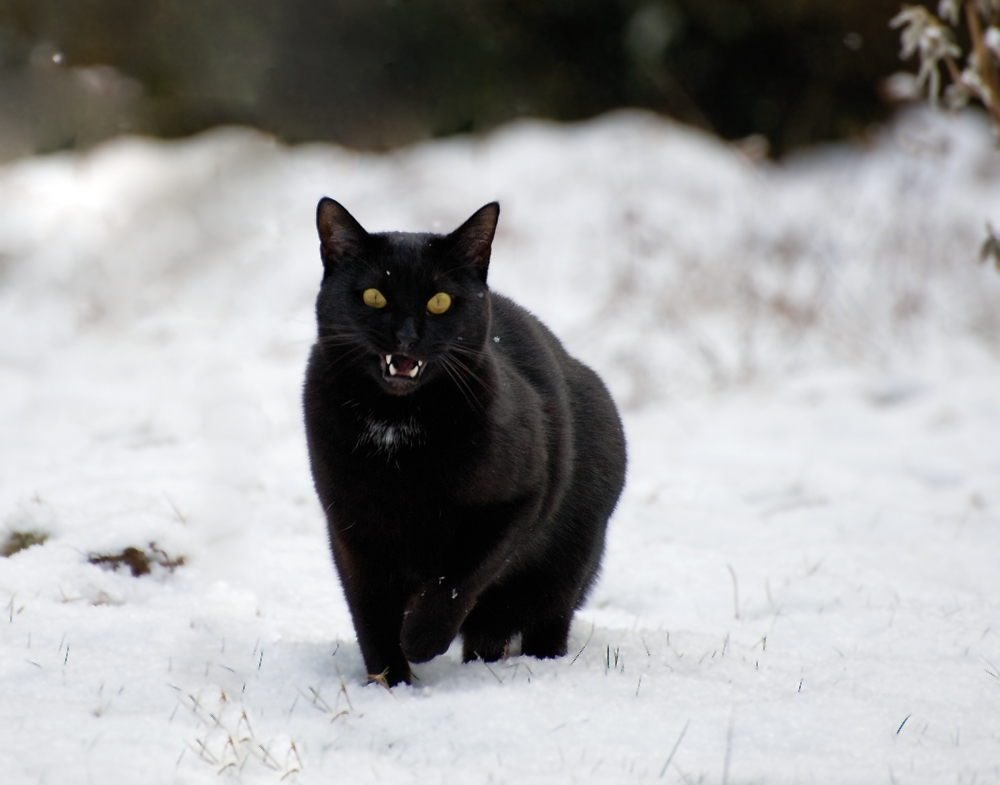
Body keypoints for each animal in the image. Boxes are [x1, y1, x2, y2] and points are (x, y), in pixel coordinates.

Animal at [304, 199, 624, 684]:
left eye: (439, 302)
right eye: (374, 296)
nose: (406, 337)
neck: (395, 426)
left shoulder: (519, 501)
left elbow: (459, 578)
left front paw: (420, 639)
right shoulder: (352, 527)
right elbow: (370, 614)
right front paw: (390, 683)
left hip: (562, 567)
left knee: (541, 622)